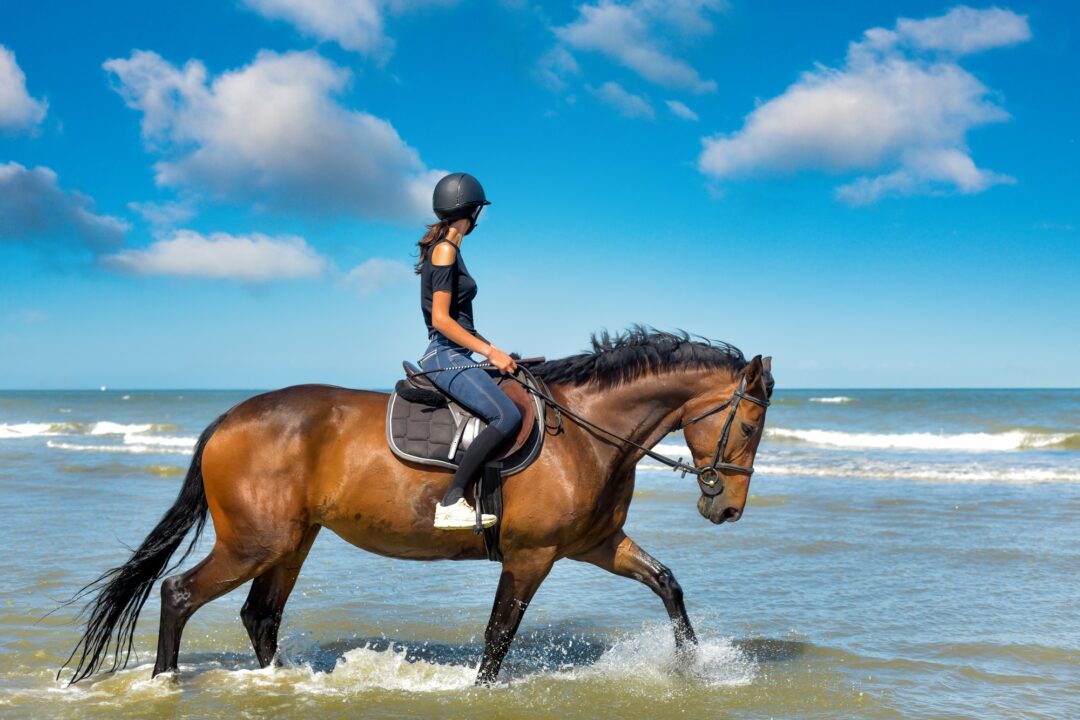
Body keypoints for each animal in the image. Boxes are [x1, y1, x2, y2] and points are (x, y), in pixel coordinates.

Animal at [61, 325, 768, 686]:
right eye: (752, 424)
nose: (726, 511)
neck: (585, 431)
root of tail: (229, 420)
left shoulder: (594, 545)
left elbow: (667, 584)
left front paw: (693, 666)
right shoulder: (533, 555)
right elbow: (498, 634)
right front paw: (480, 692)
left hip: (291, 542)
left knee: (259, 615)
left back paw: (289, 684)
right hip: (255, 543)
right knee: (180, 594)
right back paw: (164, 684)